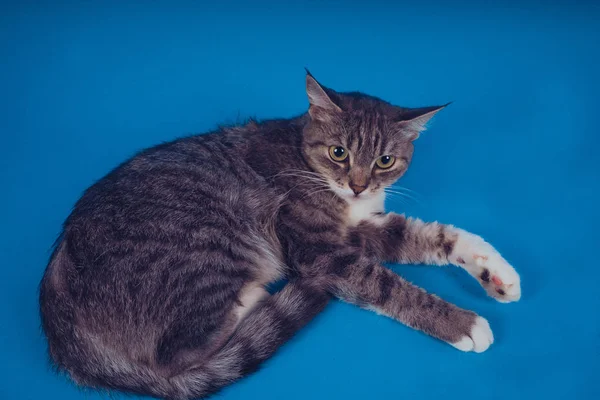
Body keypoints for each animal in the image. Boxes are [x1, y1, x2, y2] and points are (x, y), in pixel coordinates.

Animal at [38, 72, 520, 400]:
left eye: (385, 160)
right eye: (339, 152)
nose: (358, 185)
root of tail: (59, 328)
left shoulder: (362, 228)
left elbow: (432, 235)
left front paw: (495, 271)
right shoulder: (321, 252)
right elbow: (388, 286)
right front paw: (463, 323)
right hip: (212, 245)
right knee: (176, 356)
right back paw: (255, 297)